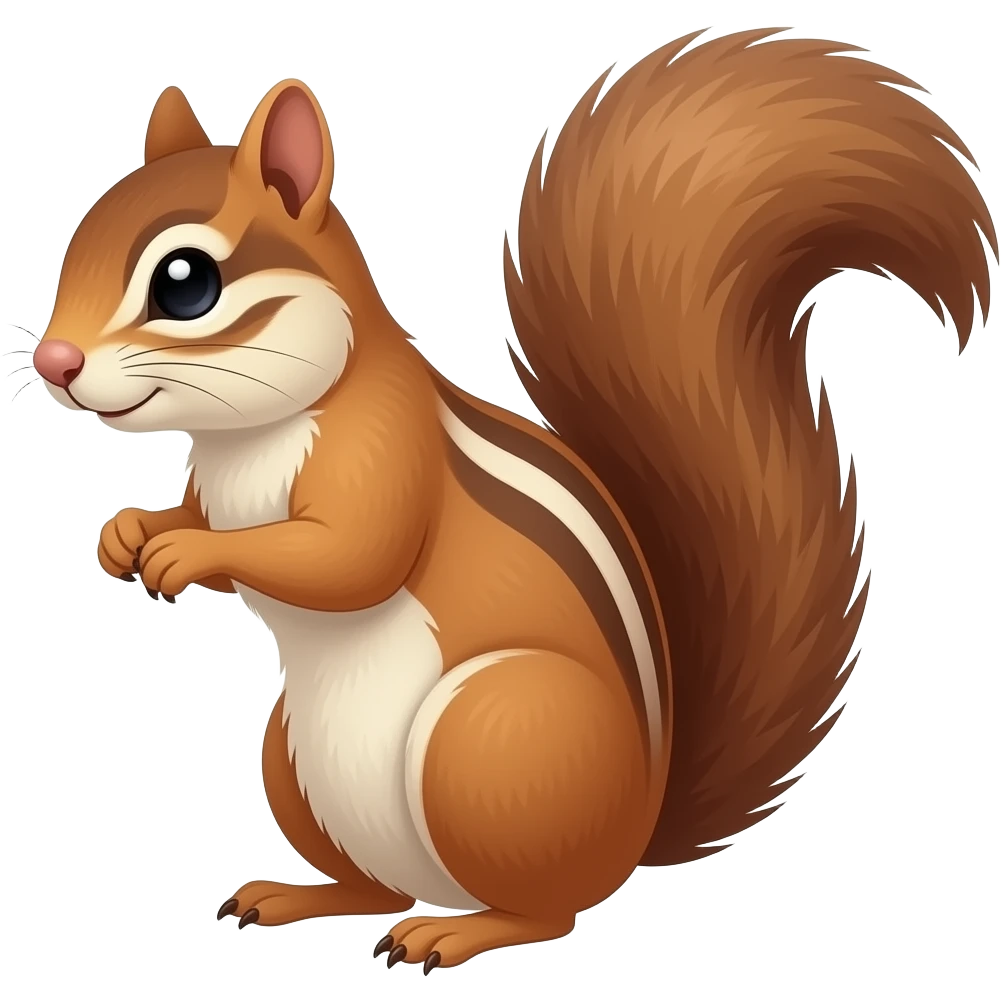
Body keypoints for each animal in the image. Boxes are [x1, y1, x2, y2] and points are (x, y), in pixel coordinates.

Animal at [31, 28, 995, 973]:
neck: (251, 435)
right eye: (75, 243)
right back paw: (298, 896)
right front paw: (127, 531)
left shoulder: (384, 452)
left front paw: (188, 553)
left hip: (491, 741)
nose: (53, 362)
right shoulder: (214, 484)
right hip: (292, 754)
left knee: (546, 908)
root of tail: (638, 830)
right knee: (374, 886)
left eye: (185, 281)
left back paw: (455, 931)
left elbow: (346, 557)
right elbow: (197, 515)